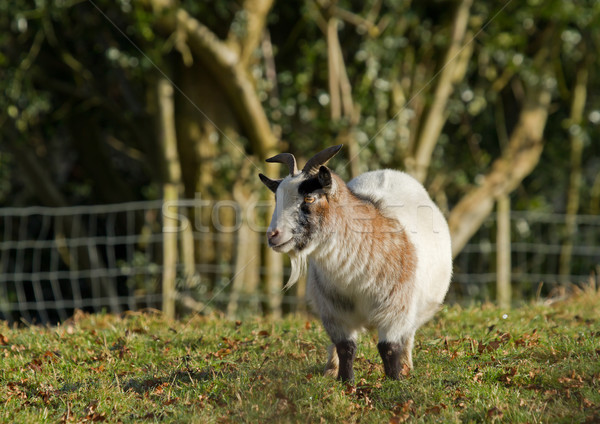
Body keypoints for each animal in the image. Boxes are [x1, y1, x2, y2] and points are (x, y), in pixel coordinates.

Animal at [258, 146, 450, 380]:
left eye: (309, 198)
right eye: (277, 198)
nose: (273, 235)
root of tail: (387, 172)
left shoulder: (395, 309)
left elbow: (388, 347)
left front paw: (395, 379)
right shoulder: (333, 311)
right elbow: (345, 346)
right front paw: (345, 380)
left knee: (408, 335)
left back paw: (406, 365)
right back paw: (330, 368)